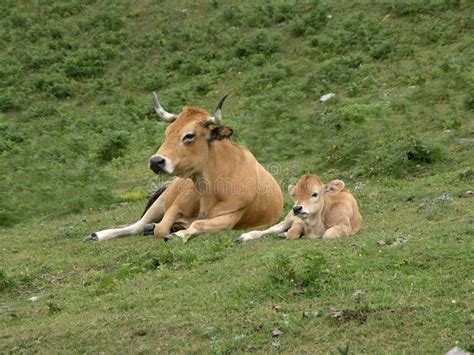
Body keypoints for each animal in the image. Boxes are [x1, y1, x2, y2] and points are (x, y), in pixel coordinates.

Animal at [85, 93, 284, 243]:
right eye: (167, 133)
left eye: (189, 135)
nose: (156, 161)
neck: (210, 189)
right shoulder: (175, 206)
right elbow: (161, 228)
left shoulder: (230, 218)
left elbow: (197, 224)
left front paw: (178, 234)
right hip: (161, 200)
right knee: (137, 225)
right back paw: (100, 235)